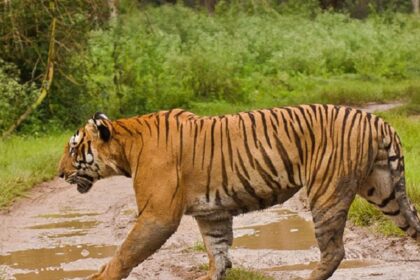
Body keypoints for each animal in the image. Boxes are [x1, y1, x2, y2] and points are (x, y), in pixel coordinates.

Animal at [57, 105, 418, 280]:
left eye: (73, 148)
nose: (59, 173)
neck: (127, 146)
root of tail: (378, 120)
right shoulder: (212, 213)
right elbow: (218, 255)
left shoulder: (157, 214)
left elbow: (125, 253)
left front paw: (99, 277)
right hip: (384, 190)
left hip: (326, 191)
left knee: (333, 252)